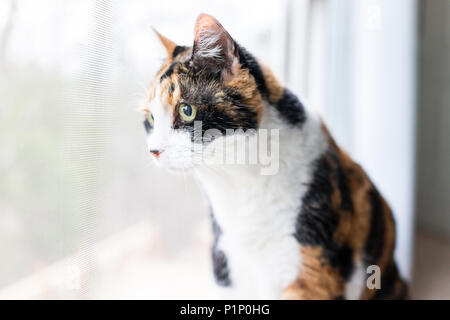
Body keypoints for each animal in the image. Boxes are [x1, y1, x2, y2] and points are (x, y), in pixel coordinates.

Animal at [142, 13, 408, 300]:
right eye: (150, 119)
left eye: (187, 110)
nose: (153, 150)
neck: (241, 184)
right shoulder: (228, 263)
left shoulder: (312, 271)